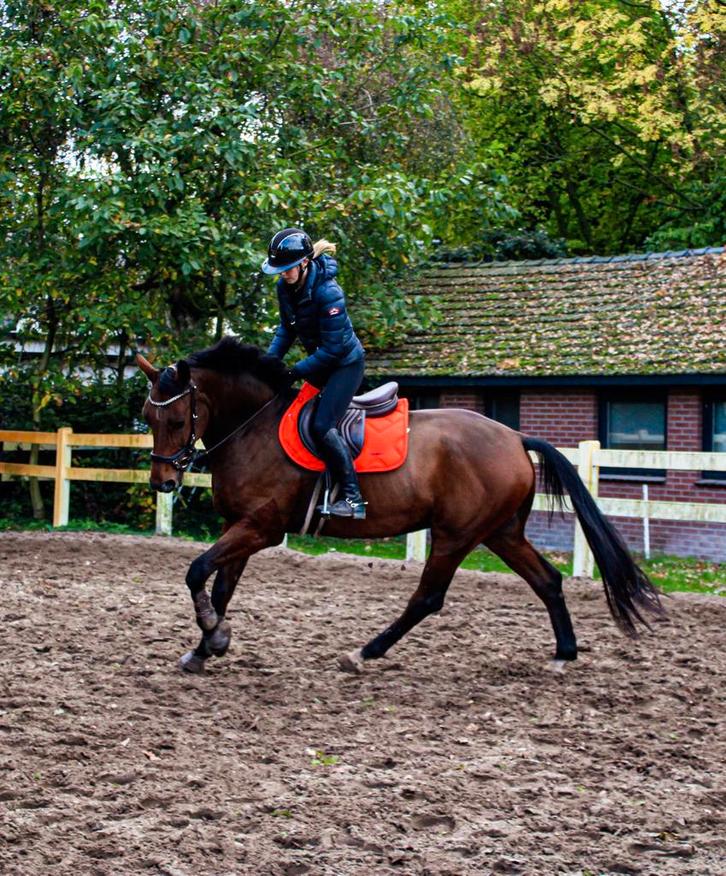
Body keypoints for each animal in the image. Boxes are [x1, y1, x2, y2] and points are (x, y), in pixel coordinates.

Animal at [137, 337, 663, 675]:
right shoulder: (238, 524)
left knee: (428, 598)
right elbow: (219, 587)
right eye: (147, 417)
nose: (164, 482)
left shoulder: (260, 527)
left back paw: (364, 653)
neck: (254, 426)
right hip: (501, 533)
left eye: (178, 419)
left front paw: (213, 636)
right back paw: (564, 653)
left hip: (456, 535)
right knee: (547, 580)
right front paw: (205, 648)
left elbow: (196, 572)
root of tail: (515, 437)